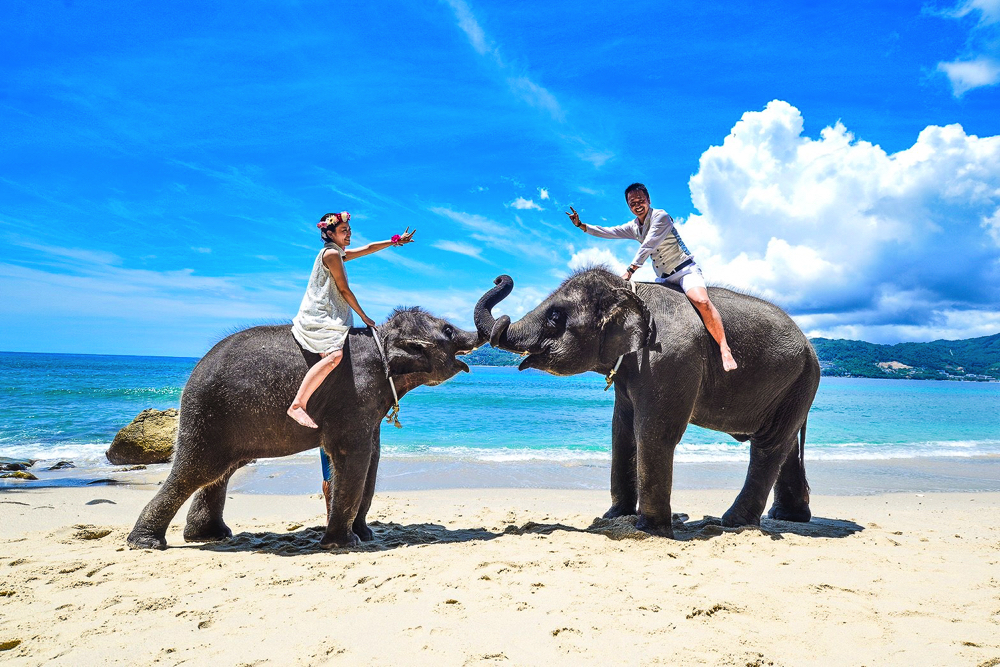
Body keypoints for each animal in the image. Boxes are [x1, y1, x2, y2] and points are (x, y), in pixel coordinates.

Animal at [127, 306, 481, 550]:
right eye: (448, 330)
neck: (381, 337)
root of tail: (194, 371)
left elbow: (372, 458)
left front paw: (363, 535)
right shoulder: (353, 396)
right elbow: (353, 455)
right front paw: (344, 543)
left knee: (222, 472)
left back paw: (211, 536)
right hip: (206, 417)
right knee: (196, 471)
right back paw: (146, 543)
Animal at [474, 268, 820, 538]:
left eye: (555, 316)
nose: (500, 277)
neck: (631, 291)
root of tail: (810, 346)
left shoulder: (668, 358)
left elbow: (654, 431)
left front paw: (650, 530)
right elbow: (622, 431)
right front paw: (614, 517)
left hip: (799, 380)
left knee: (768, 445)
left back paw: (733, 523)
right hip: (793, 387)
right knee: (785, 444)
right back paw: (787, 517)